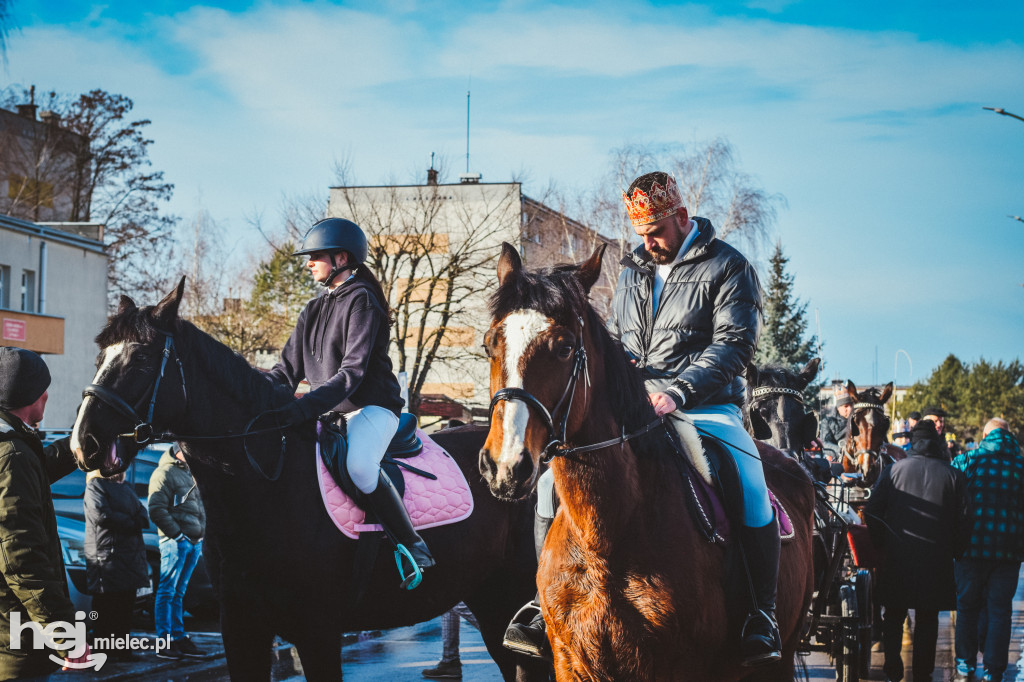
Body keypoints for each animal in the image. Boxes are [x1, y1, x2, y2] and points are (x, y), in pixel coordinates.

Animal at [69, 278, 548, 679]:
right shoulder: (241, 626)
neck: (265, 487)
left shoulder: (317, 629)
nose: (82, 442)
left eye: (141, 357)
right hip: (491, 603)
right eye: (100, 356)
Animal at [473, 244, 815, 679]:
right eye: (489, 345)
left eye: (565, 348)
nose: (504, 465)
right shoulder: (570, 660)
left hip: (782, 655)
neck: (607, 537)